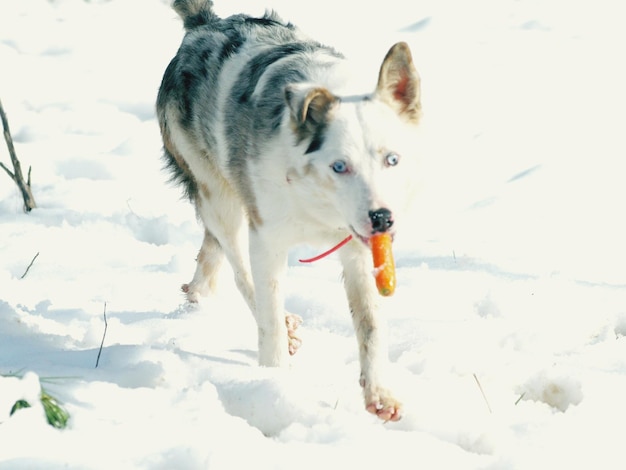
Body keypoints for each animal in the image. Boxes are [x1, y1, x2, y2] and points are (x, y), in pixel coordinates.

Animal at [156, 0, 420, 422]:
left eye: (391, 159)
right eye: (339, 166)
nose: (382, 217)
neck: (318, 203)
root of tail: (203, 26)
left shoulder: (359, 249)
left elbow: (371, 324)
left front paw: (380, 393)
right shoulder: (267, 238)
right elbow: (268, 321)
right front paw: (274, 386)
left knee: (211, 251)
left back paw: (198, 291)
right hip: (221, 199)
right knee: (238, 267)